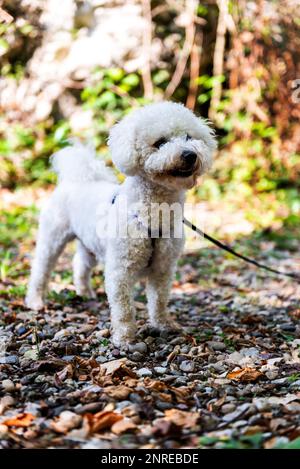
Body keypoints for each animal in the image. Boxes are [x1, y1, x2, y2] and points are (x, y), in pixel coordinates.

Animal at [25, 102, 216, 348]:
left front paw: (164, 324)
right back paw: (35, 300)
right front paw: (125, 338)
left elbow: (159, 300)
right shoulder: (120, 269)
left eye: (188, 137)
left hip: (90, 244)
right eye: (160, 142)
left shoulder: (163, 268)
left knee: (80, 263)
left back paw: (84, 291)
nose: (190, 155)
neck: (151, 214)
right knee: (41, 268)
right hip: (53, 237)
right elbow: (124, 308)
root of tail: (77, 179)